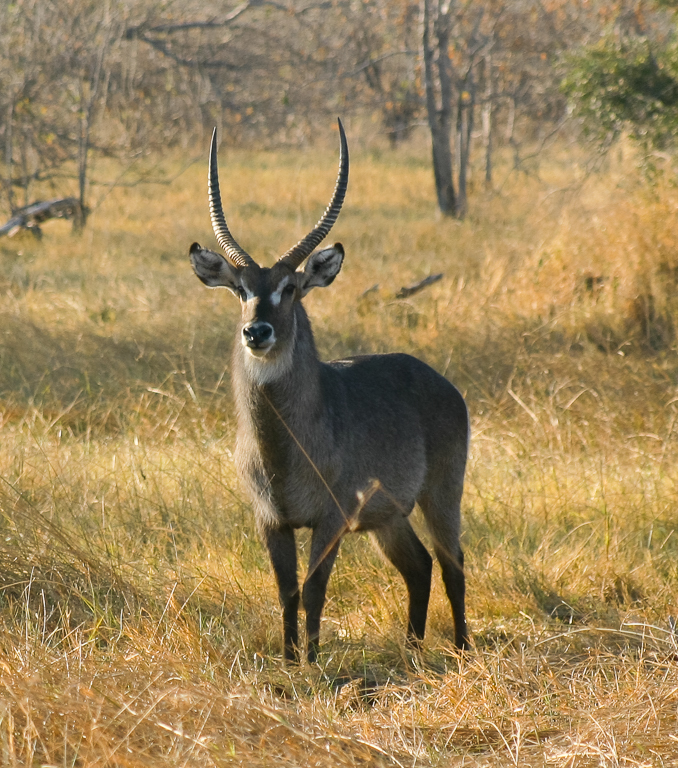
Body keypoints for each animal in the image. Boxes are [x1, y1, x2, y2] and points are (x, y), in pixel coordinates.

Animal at [189, 120, 470, 660]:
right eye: (241, 289)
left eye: (291, 289)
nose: (256, 332)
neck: (284, 448)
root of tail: (440, 381)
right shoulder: (271, 521)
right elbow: (285, 590)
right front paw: (288, 658)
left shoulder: (331, 519)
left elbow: (314, 589)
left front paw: (312, 661)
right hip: (387, 516)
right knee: (419, 566)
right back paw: (411, 647)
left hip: (443, 492)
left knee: (453, 563)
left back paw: (463, 647)